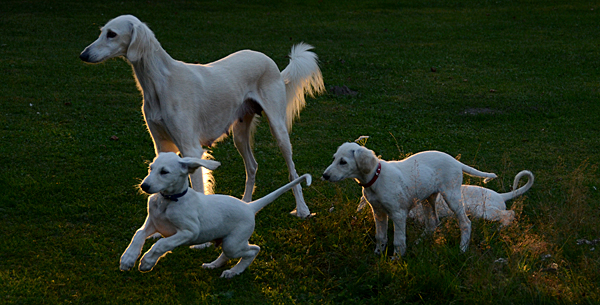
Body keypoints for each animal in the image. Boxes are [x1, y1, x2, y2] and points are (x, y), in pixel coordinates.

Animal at [80, 15, 326, 217]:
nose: (83, 55)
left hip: (278, 128)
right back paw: (246, 205)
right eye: (101, 31)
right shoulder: (162, 145)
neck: (161, 83)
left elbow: (198, 186)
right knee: (252, 166)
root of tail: (269, 61)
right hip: (239, 132)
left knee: (292, 170)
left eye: (112, 34)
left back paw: (302, 209)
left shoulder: (190, 148)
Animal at [119, 152, 312, 278]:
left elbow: (161, 244)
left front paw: (147, 262)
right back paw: (214, 265)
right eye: (151, 168)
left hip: (234, 242)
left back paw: (234, 271)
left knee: (254, 250)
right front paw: (128, 259)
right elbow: (138, 235)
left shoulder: (189, 232)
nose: (144, 186)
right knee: (227, 254)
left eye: (164, 172)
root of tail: (249, 207)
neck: (168, 201)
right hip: (227, 240)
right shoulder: (153, 223)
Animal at [324, 142, 496, 256]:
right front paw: (378, 254)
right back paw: (420, 242)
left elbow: (398, 241)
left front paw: (396, 259)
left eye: (343, 162)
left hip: (452, 195)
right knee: (433, 222)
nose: (324, 175)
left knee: (465, 223)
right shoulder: (378, 212)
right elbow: (380, 236)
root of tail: (456, 161)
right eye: (334, 158)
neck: (376, 177)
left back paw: (462, 248)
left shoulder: (398, 214)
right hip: (428, 198)